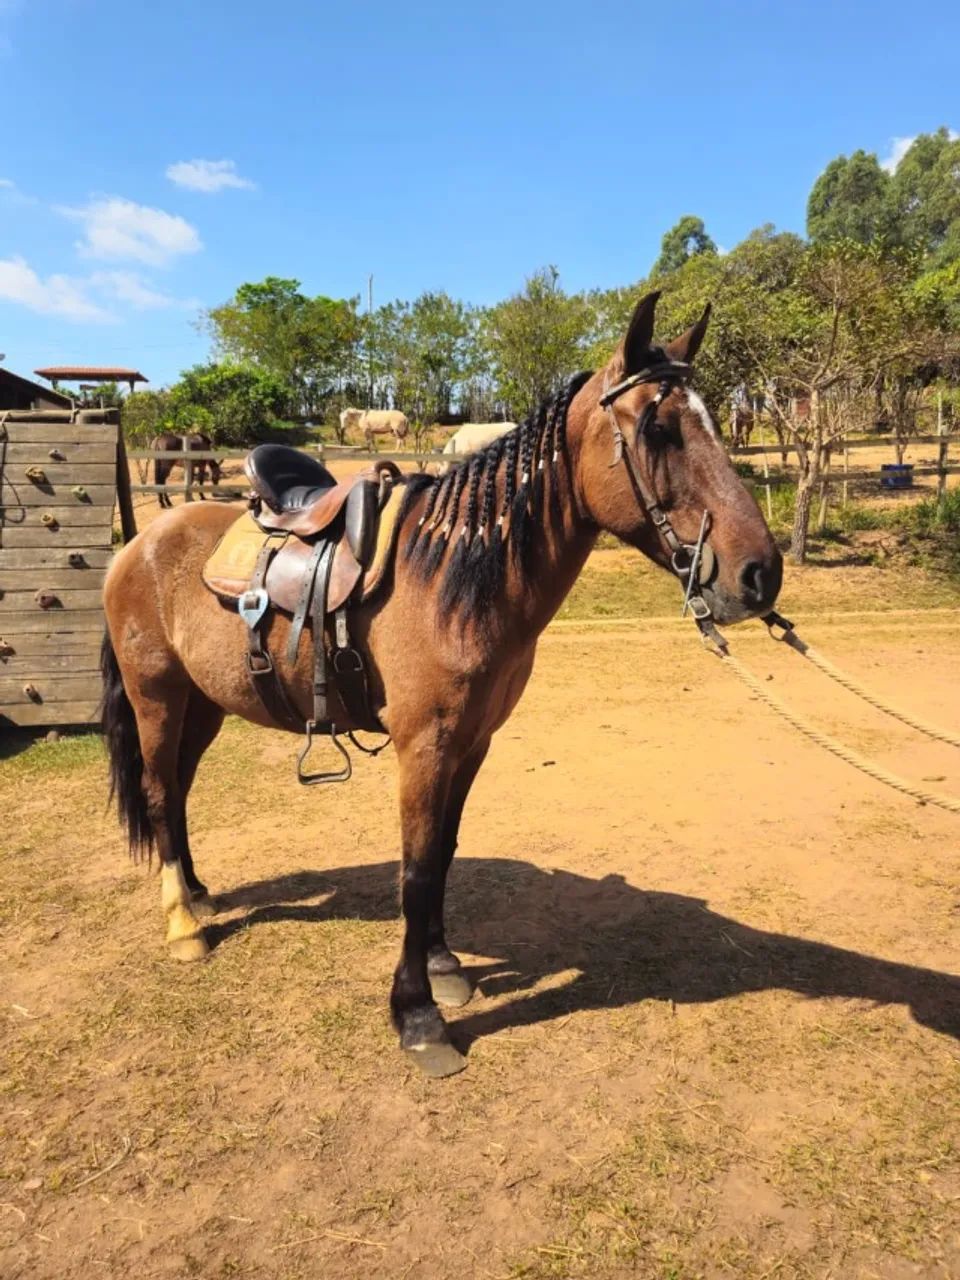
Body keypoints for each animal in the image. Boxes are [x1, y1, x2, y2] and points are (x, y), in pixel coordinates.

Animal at [101, 292, 782, 1078]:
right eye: (659, 429)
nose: (761, 573)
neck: (452, 578)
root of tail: (137, 545)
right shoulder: (424, 746)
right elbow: (418, 870)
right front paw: (418, 1015)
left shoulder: (471, 742)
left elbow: (445, 852)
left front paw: (444, 966)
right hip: (156, 697)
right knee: (157, 790)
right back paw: (184, 924)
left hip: (204, 705)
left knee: (177, 793)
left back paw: (199, 893)